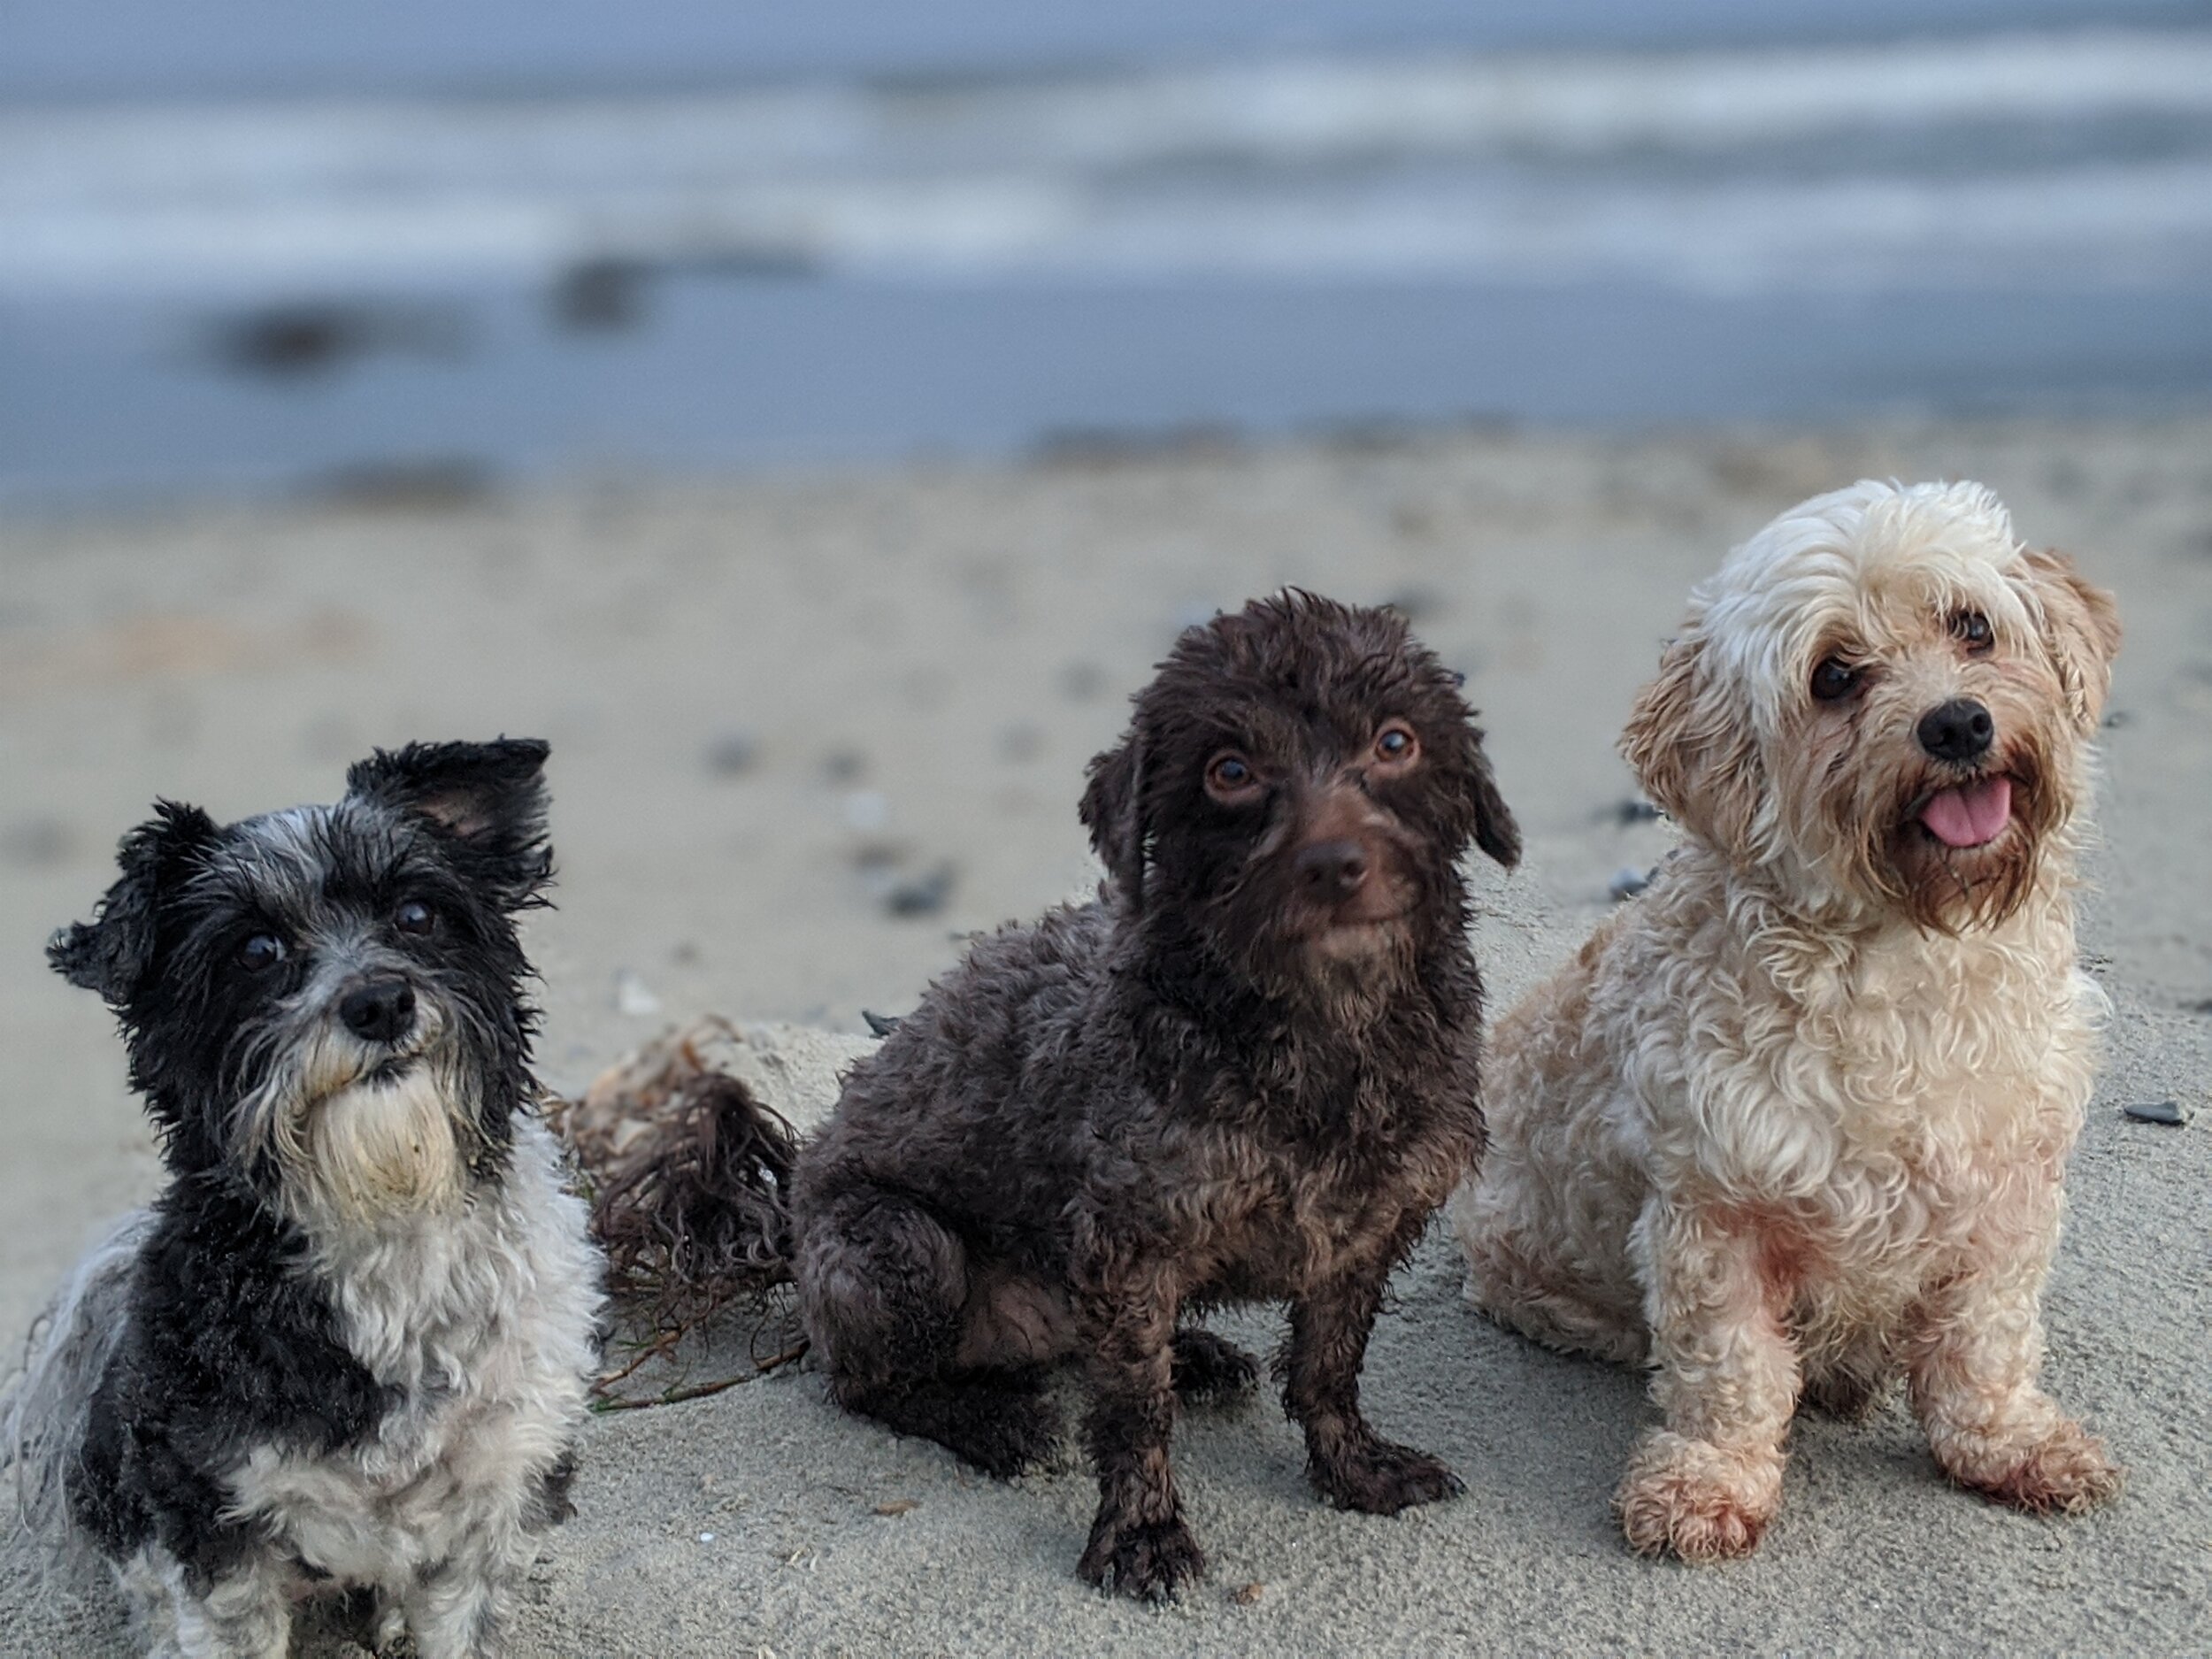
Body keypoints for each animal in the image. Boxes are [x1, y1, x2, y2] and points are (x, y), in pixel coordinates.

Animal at [2, 743, 606, 1659]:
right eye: (256, 949)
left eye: (418, 914)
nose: (380, 1001)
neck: (381, 1215)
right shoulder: (210, 1520)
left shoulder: (495, 1497)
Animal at [1451, 478, 2124, 1557]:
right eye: (1834, 675)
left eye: (1972, 626)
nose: (1957, 724)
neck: (1902, 960)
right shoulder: (1710, 1209)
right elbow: (1730, 1366)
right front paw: (1710, 1477)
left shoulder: (2007, 1191)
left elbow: (1986, 1340)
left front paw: (2008, 1443)